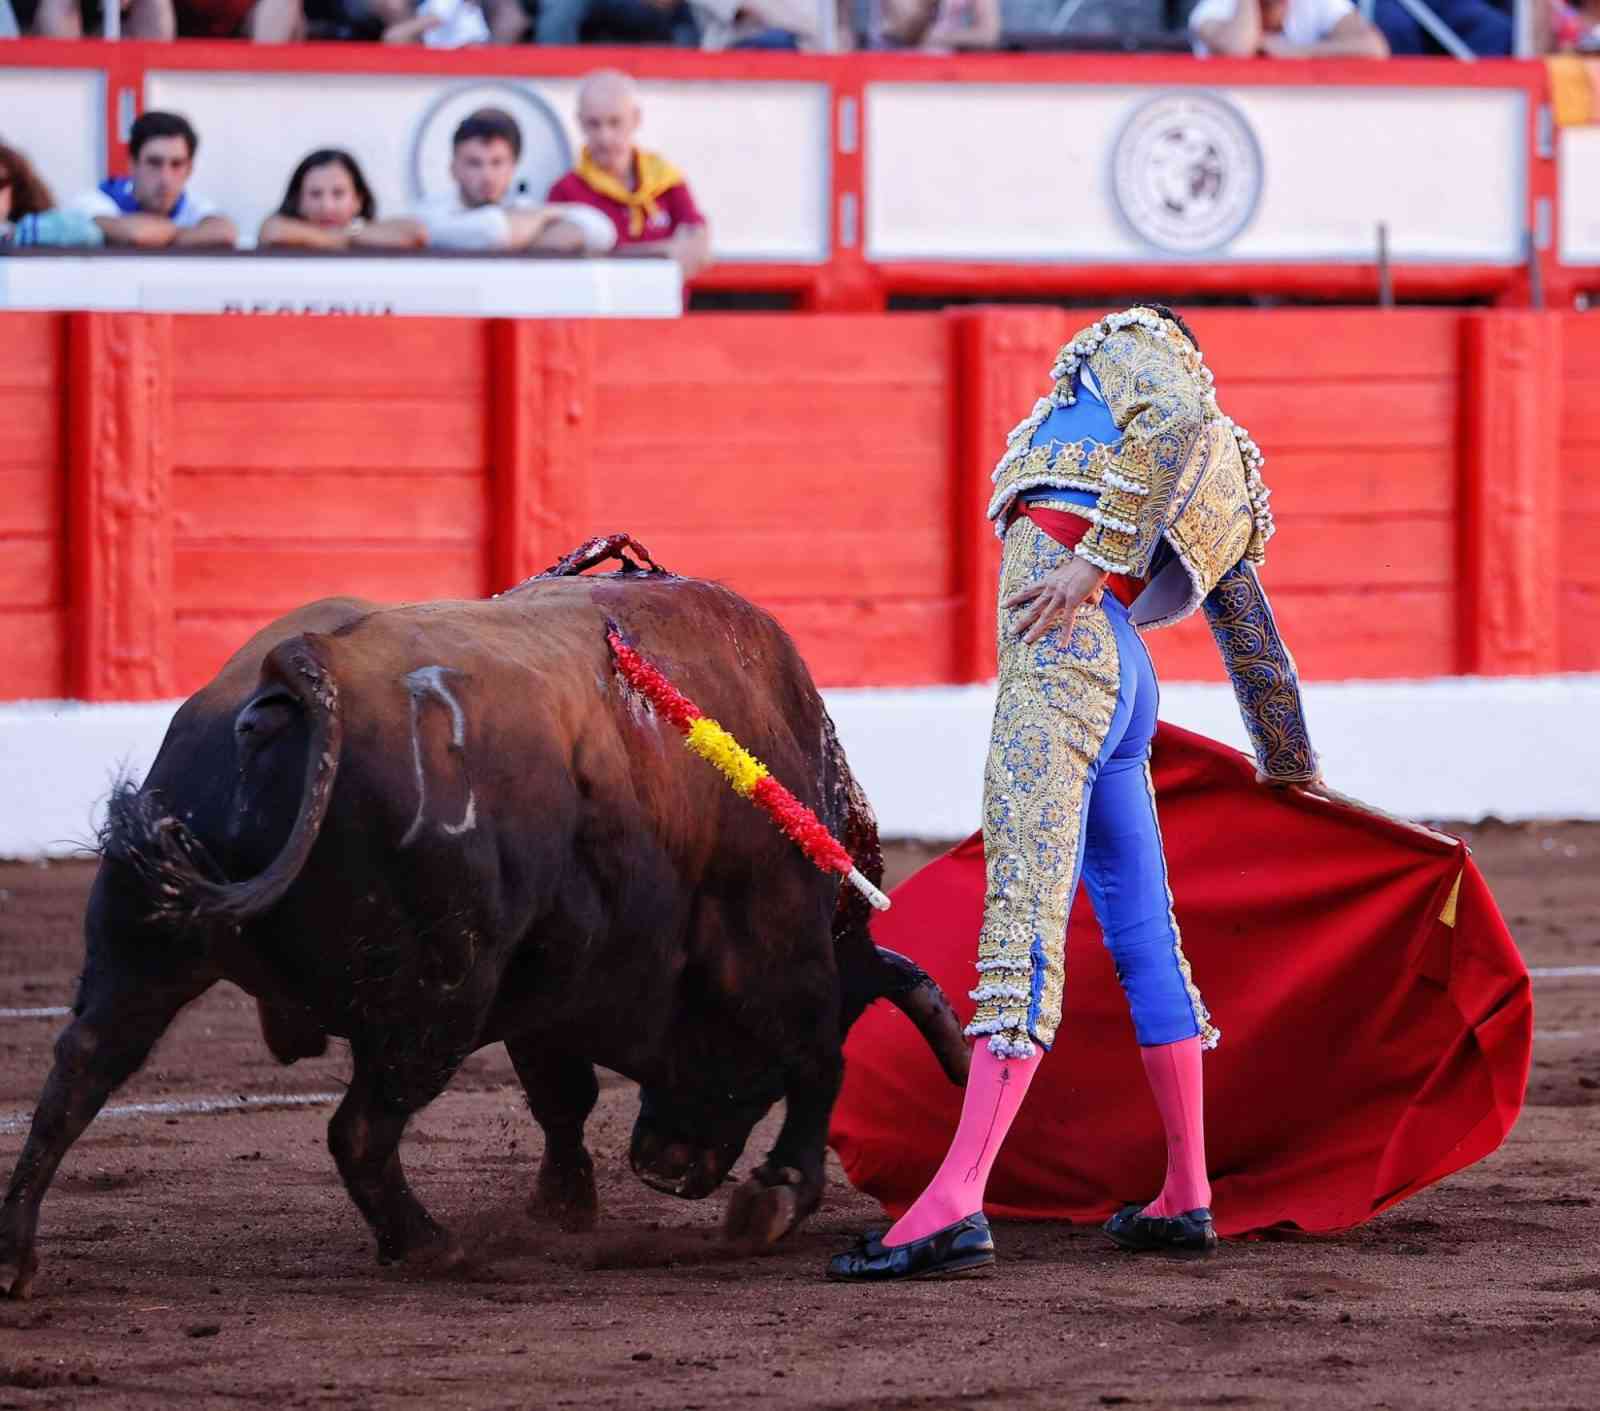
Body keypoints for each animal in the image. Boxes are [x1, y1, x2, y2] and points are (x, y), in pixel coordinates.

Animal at [0, 537, 970, 1299]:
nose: (668, 1168)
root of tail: (304, 665)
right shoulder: (776, 962)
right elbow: (818, 1059)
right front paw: (774, 1196)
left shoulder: (555, 985)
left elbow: (564, 1093)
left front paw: (562, 1206)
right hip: (438, 997)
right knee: (360, 1127)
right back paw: (433, 1247)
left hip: (144, 946)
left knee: (79, 1070)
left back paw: (17, 1259)